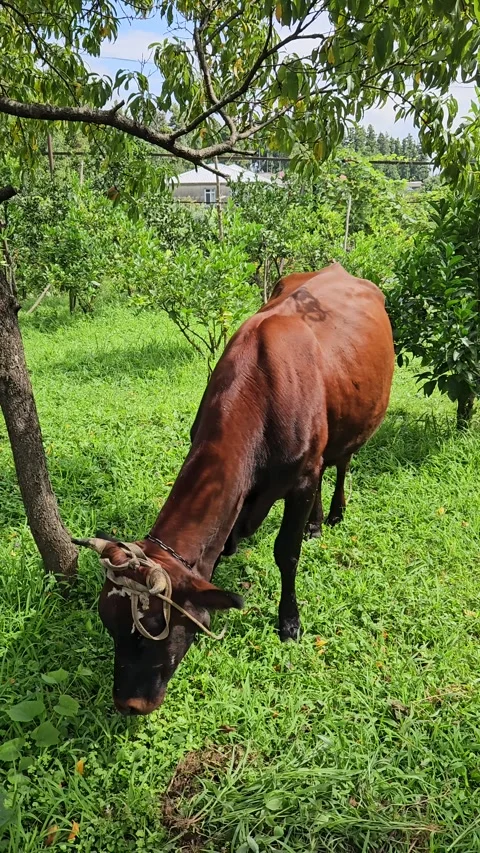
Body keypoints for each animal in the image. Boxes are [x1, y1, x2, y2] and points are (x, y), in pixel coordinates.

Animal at [74, 263, 394, 715]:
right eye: (108, 622)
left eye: (150, 627)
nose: (128, 704)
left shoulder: (300, 478)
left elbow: (286, 553)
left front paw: (289, 621)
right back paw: (315, 524)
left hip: (353, 426)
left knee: (342, 463)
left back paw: (333, 514)